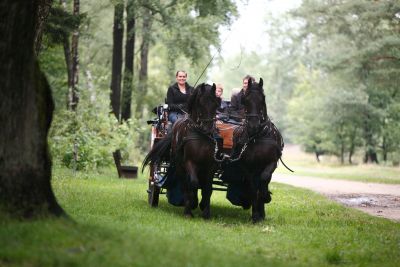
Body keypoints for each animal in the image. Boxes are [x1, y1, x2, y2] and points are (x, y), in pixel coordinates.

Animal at [143, 84, 219, 220]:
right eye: (201, 103)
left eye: (216, 103)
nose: (208, 128)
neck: (200, 134)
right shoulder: (189, 162)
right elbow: (193, 183)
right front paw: (191, 206)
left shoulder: (210, 165)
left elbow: (207, 188)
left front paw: (206, 211)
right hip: (179, 164)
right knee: (184, 182)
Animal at [228, 78, 284, 224]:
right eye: (245, 100)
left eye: (262, 98)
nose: (253, 125)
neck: (257, 137)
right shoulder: (248, 167)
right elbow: (253, 188)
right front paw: (255, 215)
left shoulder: (271, 163)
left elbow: (264, 179)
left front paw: (266, 198)